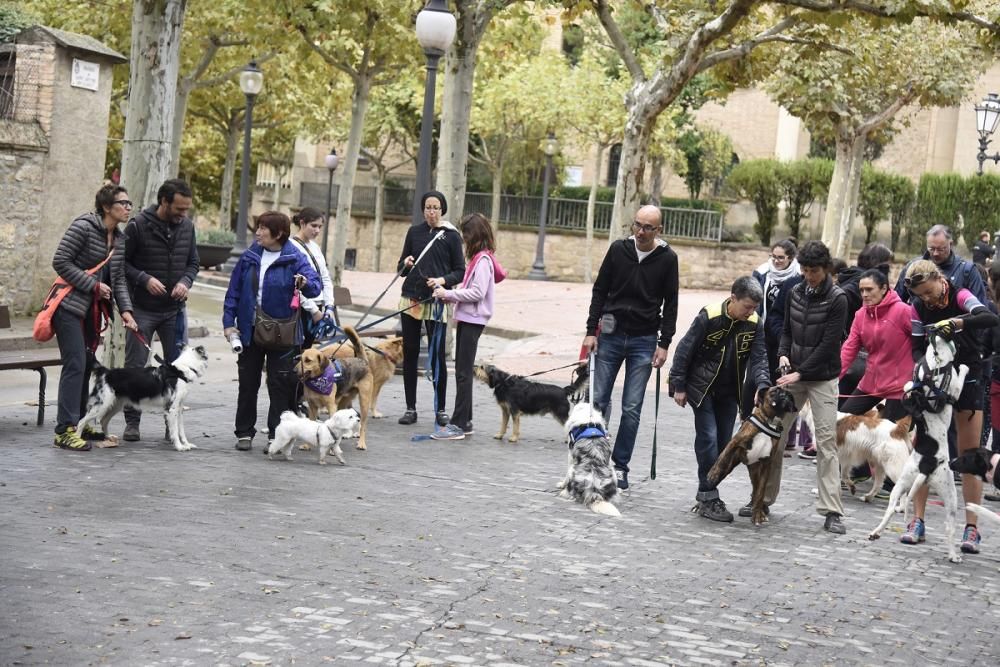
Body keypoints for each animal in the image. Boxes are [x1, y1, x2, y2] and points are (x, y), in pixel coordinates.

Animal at [708, 388, 800, 524]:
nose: (784, 395)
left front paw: (757, 516)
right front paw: (713, 473)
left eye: (789, 395)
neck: (770, 421)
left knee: (757, 493)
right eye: (774, 391)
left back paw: (759, 512)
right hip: (729, 468)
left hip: (756, 474)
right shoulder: (734, 442)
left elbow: (761, 493)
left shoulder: (767, 464)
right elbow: (721, 457)